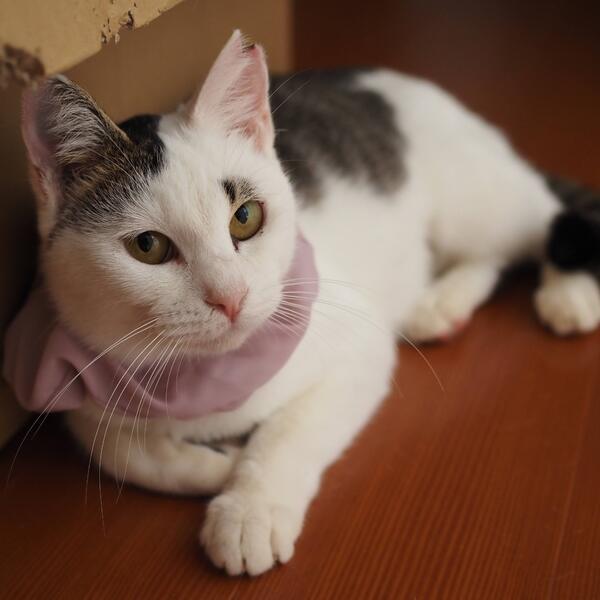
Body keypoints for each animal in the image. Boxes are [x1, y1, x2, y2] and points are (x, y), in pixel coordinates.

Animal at [6, 30, 600, 576]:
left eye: (246, 218)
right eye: (148, 247)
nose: (231, 297)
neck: (205, 376)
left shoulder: (359, 346)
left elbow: (287, 432)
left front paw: (249, 506)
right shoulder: (74, 376)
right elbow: (117, 450)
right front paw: (217, 468)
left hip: (475, 203)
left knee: (545, 221)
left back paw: (567, 293)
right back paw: (439, 305)